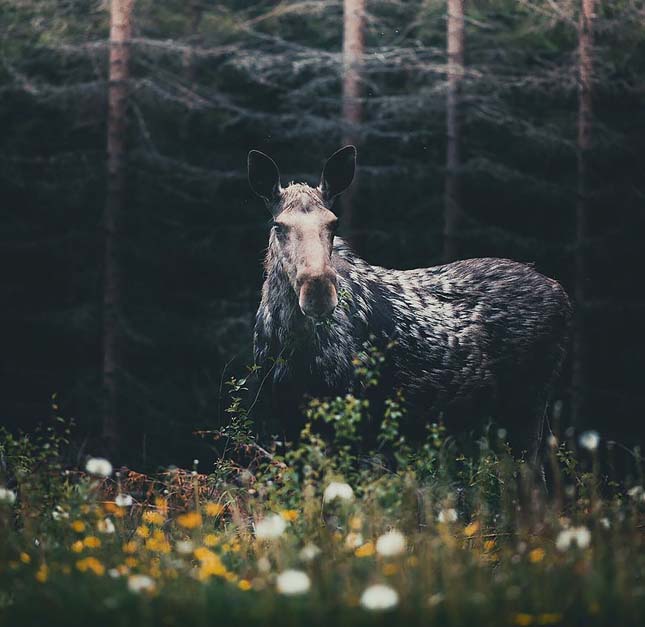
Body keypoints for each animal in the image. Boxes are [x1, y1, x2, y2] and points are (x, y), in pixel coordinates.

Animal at [247, 147, 568, 462]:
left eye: (333, 223)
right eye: (278, 225)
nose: (319, 292)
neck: (290, 342)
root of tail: (561, 292)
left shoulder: (351, 411)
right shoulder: (278, 415)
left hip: (528, 402)